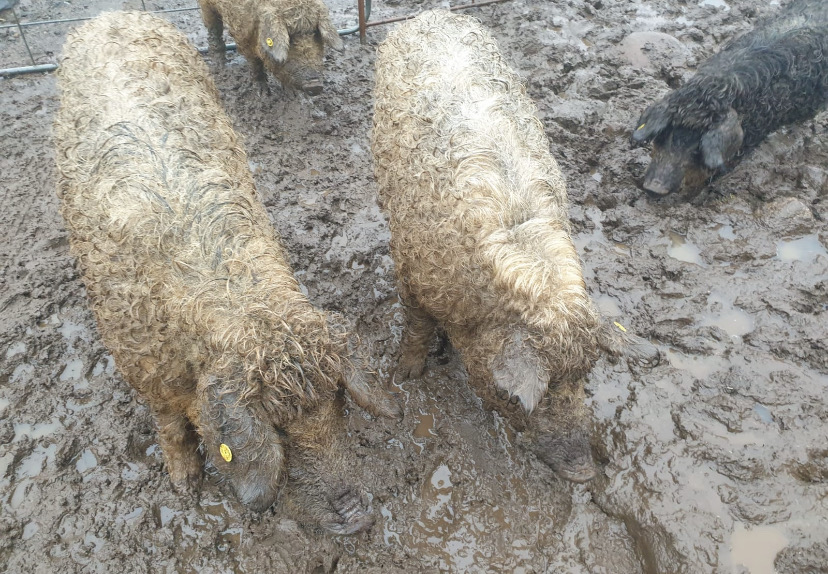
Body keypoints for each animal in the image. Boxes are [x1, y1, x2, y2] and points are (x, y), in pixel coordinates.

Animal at [54, 11, 398, 533]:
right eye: (279, 432)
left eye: (338, 404)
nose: (359, 516)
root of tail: (109, 15)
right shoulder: (144, 369)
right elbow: (171, 428)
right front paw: (185, 487)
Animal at [197, 0, 344, 95]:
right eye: (290, 38)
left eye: (314, 33)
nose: (315, 85)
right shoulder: (242, 37)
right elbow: (255, 64)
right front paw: (262, 94)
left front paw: (292, 94)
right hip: (207, 6)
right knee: (213, 29)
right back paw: (220, 66)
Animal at [371, 10, 659, 483]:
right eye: (533, 394)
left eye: (584, 376)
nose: (584, 472)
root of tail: (433, 12)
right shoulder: (411, 273)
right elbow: (414, 327)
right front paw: (407, 375)